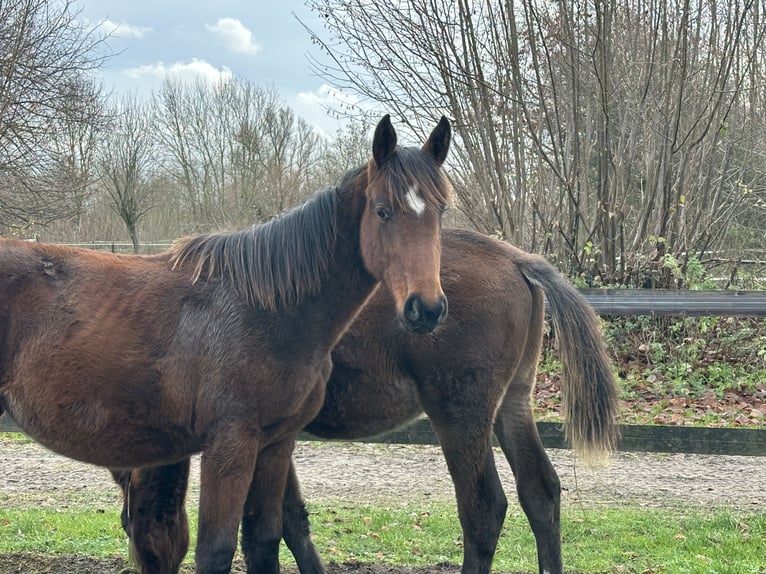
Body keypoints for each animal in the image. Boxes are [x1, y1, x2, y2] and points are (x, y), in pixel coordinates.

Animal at [0, 114, 453, 574]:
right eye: (382, 211)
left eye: (441, 210)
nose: (426, 309)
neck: (268, 310)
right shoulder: (229, 447)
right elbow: (216, 550)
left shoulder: (275, 445)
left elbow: (264, 540)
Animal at [113, 228, 619, 574]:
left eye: (133, 522)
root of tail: (513, 258)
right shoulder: (272, 438)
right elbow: (292, 520)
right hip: (512, 406)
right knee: (541, 493)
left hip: (460, 417)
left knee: (483, 508)